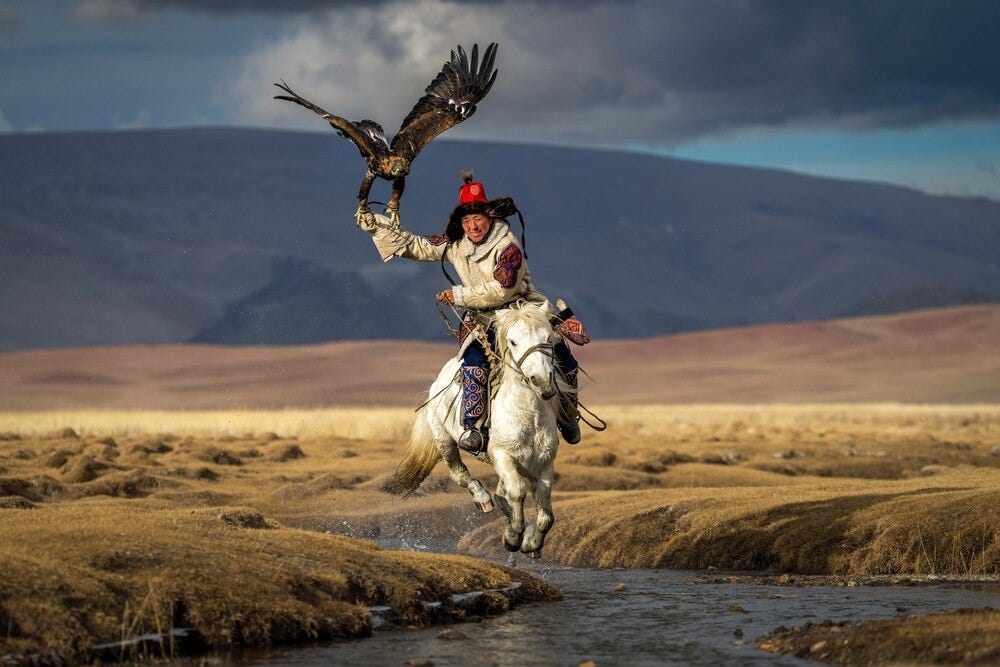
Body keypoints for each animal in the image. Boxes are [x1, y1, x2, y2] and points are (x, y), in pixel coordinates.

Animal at [389, 300, 568, 558]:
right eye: (513, 341)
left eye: (549, 338)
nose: (541, 381)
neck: (528, 416)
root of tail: (436, 382)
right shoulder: (503, 457)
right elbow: (517, 492)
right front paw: (513, 538)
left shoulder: (544, 463)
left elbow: (545, 514)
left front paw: (531, 543)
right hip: (445, 441)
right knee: (460, 474)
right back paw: (483, 500)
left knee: (501, 494)